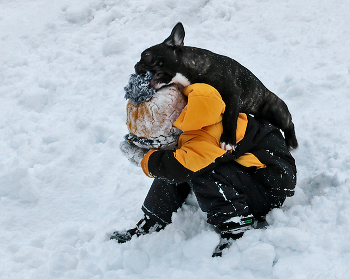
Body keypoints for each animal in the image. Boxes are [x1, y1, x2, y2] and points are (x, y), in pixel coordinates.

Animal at [134, 22, 298, 151]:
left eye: (146, 55)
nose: (136, 65)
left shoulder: (233, 96)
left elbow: (230, 117)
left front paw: (228, 140)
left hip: (274, 110)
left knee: (289, 123)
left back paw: (292, 142)